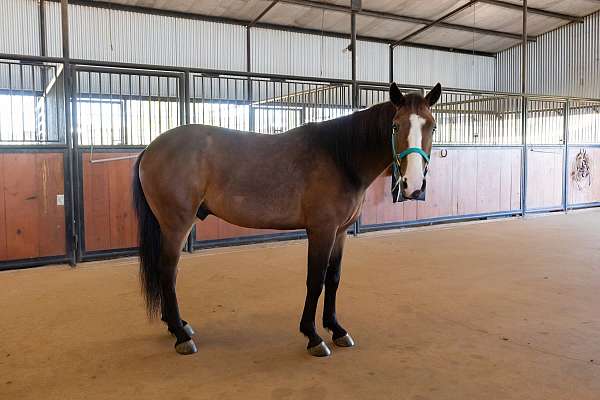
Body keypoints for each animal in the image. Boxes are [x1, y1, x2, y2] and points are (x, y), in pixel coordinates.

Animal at [132, 81, 440, 356]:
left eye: (432, 126)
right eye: (396, 126)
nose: (413, 186)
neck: (340, 157)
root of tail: (150, 149)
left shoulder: (340, 232)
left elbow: (334, 278)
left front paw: (336, 329)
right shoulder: (322, 230)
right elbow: (315, 280)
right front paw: (313, 336)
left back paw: (178, 325)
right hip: (176, 226)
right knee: (167, 272)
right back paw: (181, 335)